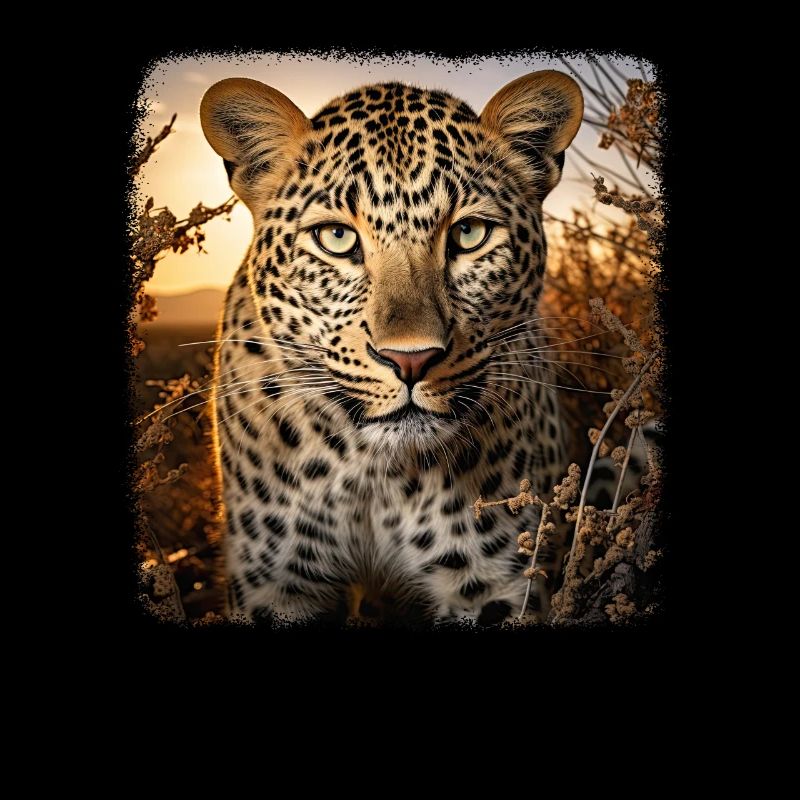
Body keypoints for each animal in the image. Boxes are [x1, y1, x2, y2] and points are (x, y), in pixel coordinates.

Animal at [199, 70, 584, 625]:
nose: (411, 359)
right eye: (336, 238)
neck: (377, 477)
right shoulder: (277, 582)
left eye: (469, 233)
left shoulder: (494, 583)